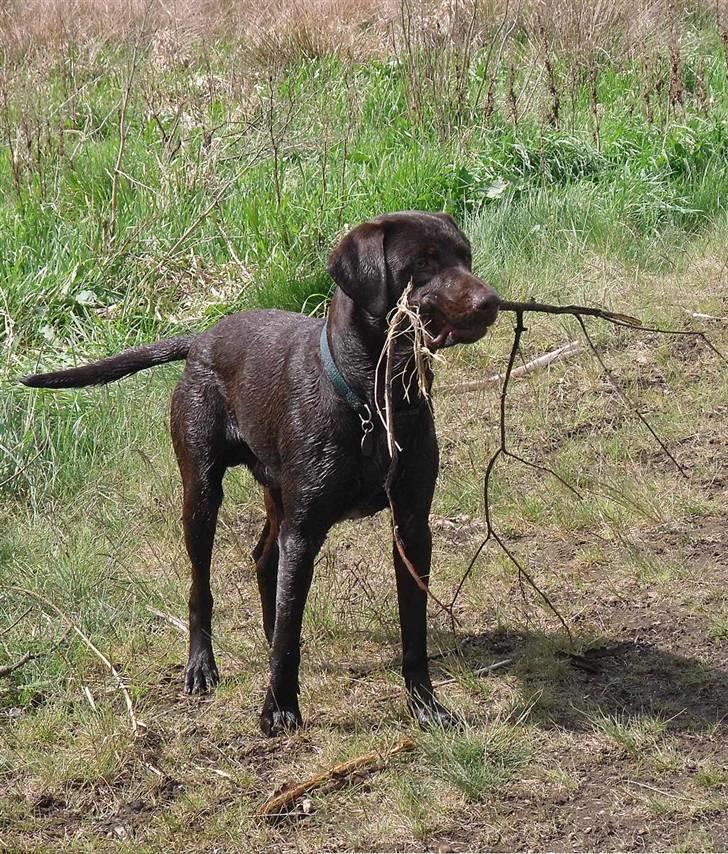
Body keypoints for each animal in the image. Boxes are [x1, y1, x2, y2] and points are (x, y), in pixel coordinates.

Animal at [24, 212, 500, 736]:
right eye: (422, 264)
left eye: (465, 257)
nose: (491, 301)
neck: (370, 404)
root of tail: (202, 338)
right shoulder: (305, 529)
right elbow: (288, 632)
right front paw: (278, 708)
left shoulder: (412, 527)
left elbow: (412, 629)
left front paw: (425, 705)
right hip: (202, 495)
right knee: (202, 587)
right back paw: (201, 666)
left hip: (276, 496)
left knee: (265, 565)